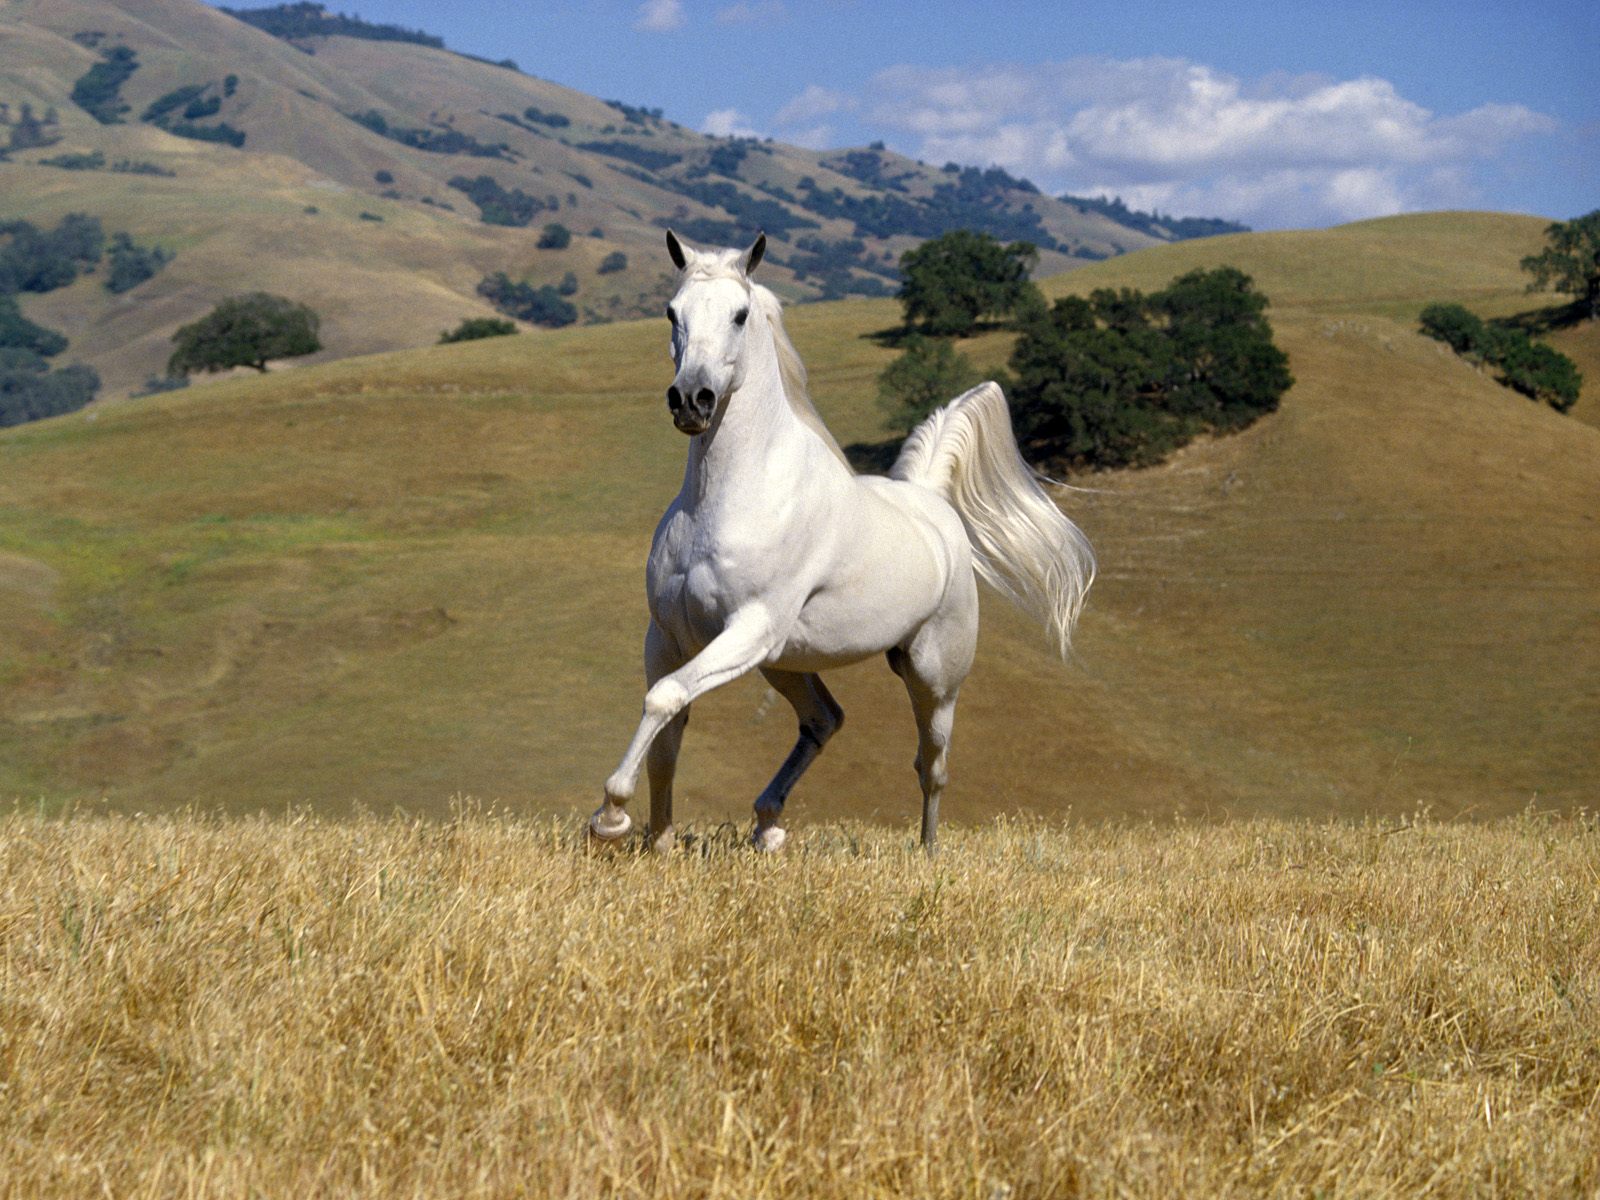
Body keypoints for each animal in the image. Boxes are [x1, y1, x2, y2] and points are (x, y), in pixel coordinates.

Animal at [595, 232, 1094, 857]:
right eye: (671, 312)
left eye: (739, 314)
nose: (692, 400)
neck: (726, 498)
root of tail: (930, 502)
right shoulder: (669, 635)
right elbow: (668, 726)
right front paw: (657, 843)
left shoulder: (748, 626)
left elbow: (664, 699)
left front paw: (611, 816)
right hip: (783, 662)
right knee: (824, 719)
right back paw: (768, 824)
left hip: (931, 676)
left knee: (931, 766)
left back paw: (926, 854)